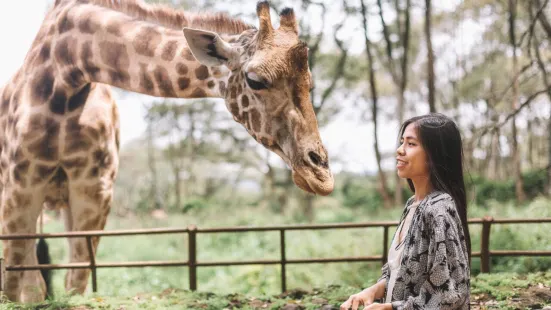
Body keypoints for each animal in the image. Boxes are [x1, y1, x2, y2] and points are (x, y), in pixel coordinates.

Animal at [1, 0, 332, 302]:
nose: (320, 176)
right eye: (255, 80)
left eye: (310, 84)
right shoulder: (21, 185)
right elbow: (15, 283)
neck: (69, 73)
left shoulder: (93, 189)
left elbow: (76, 281)